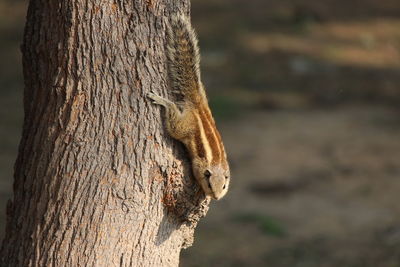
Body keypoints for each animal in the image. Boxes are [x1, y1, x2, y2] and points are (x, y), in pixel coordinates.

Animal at [148, 13, 230, 200]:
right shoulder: (199, 164)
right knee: (173, 119)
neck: (216, 165)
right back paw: (162, 101)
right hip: (183, 126)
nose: (216, 197)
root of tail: (198, 105)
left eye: (223, 186)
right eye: (209, 184)